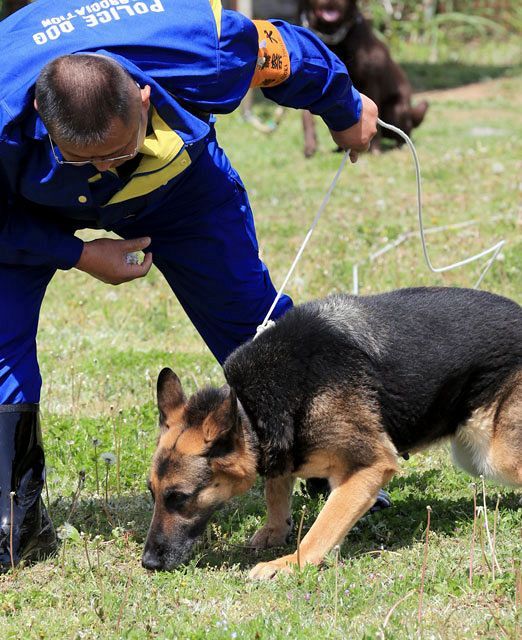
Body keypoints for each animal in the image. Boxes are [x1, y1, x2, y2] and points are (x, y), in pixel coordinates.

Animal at [142, 290, 520, 580]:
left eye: (180, 497)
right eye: (153, 494)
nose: (148, 562)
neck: (251, 408)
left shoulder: (368, 468)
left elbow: (322, 528)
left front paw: (290, 563)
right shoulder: (284, 447)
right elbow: (276, 491)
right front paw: (275, 531)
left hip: (494, 457)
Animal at [298, 0, 428, 155]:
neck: (333, 36)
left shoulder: (370, 83)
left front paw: (375, 150)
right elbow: (307, 119)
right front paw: (310, 147)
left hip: (396, 108)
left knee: (403, 131)